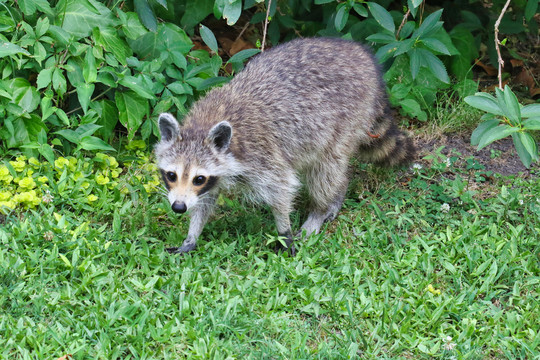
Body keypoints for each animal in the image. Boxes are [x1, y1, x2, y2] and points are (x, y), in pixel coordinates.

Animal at [154, 37, 416, 253]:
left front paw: (284, 231)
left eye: (198, 178)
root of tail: (360, 54)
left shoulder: (262, 154)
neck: (201, 127)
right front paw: (192, 234)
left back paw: (320, 209)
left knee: (326, 170)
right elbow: (205, 201)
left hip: (348, 116)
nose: (178, 207)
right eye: (171, 175)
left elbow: (282, 188)